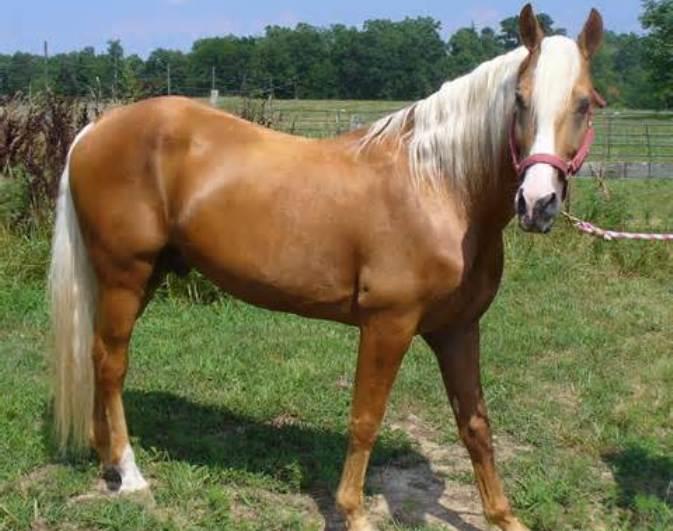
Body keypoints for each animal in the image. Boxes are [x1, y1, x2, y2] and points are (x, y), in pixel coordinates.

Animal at [48, 5, 603, 530]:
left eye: (584, 103)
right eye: (520, 100)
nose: (537, 203)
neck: (438, 187)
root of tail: (98, 127)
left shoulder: (458, 329)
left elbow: (476, 424)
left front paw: (504, 515)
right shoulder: (388, 325)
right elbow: (366, 418)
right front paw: (353, 511)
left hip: (140, 278)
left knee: (98, 355)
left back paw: (106, 458)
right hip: (126, 275)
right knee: (112, 364)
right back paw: (131, 473)